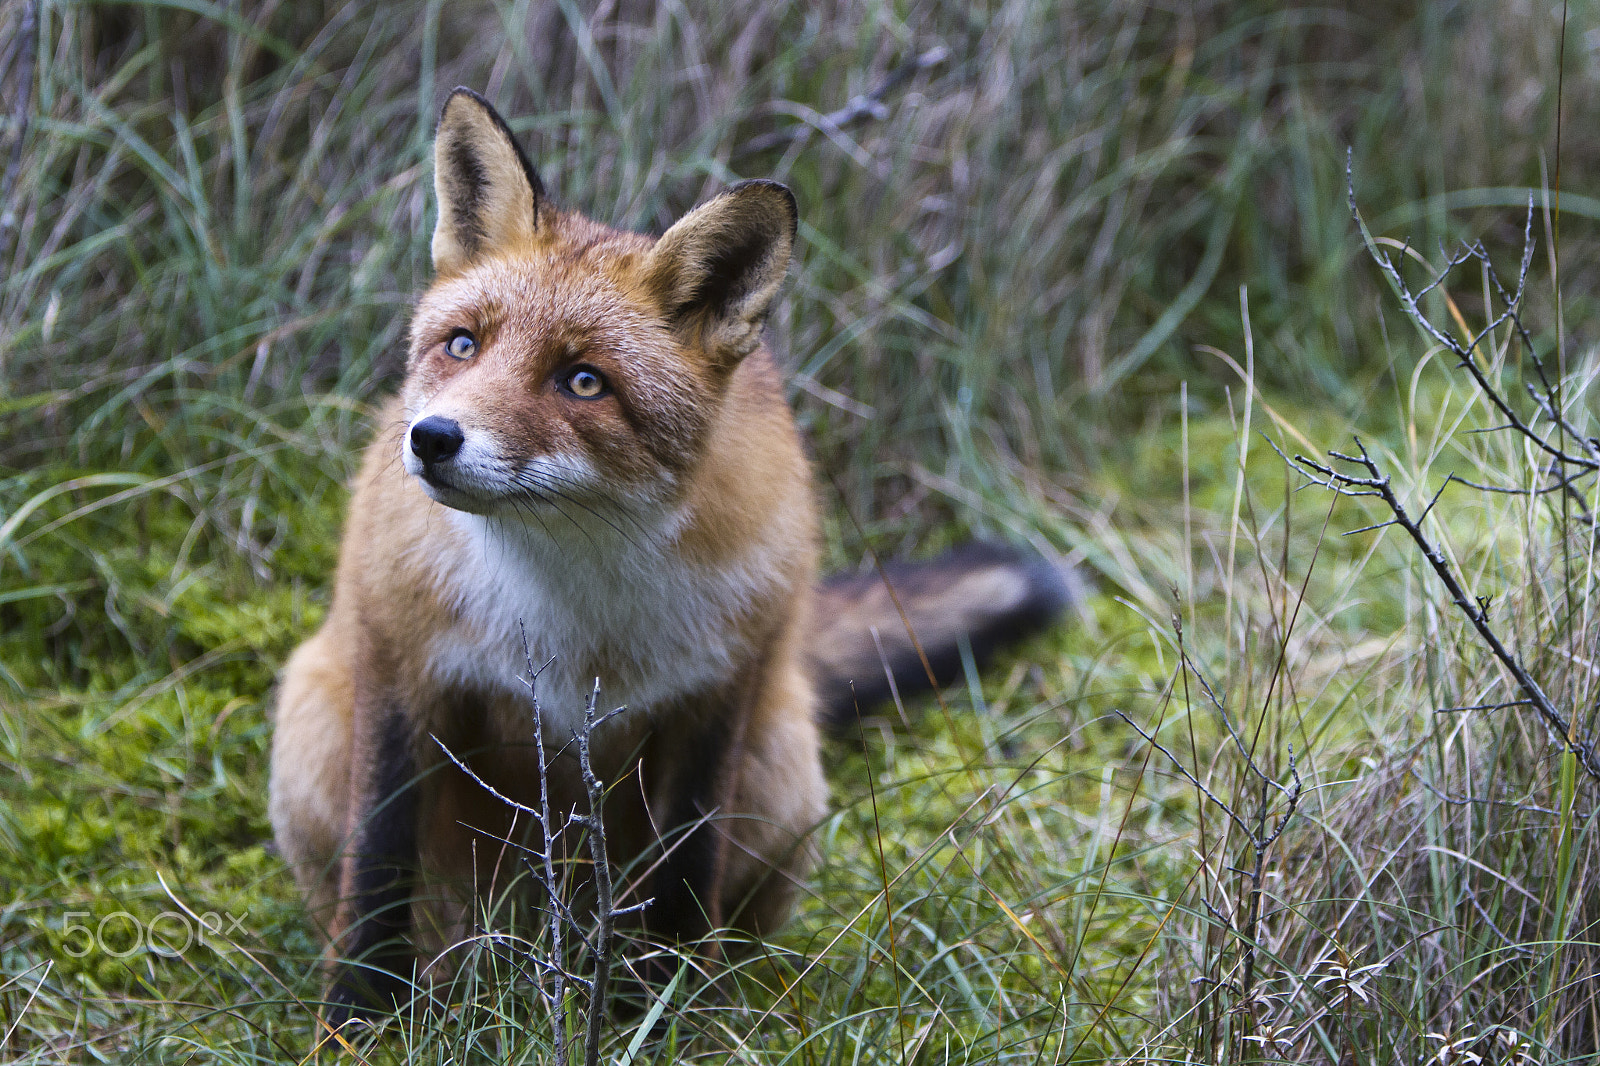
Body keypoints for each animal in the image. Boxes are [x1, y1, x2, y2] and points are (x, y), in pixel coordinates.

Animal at [268, 87, 1068, 1017]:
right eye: (462, 344)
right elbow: (375, 878)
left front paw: (672, 1020)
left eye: (583, 381)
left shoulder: (713, 699)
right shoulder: (402, 670)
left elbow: (686, 883)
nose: (431, 438)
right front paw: (355, 1022)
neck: (569, 599)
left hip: (781, 769)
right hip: (315, 734)